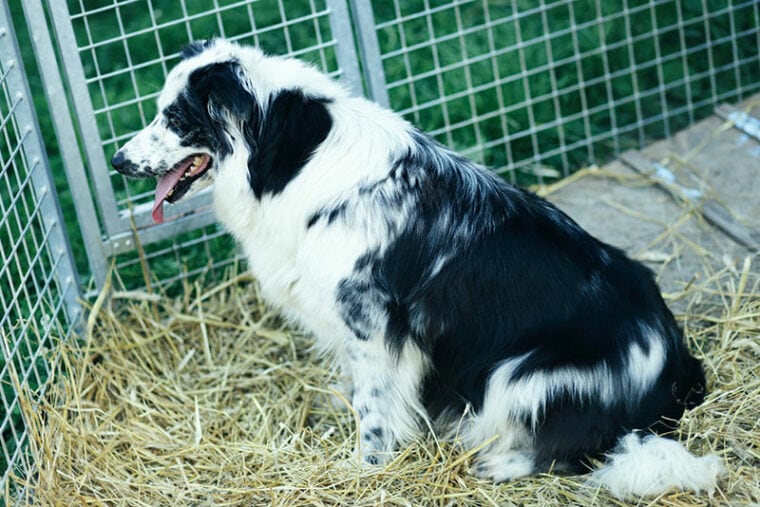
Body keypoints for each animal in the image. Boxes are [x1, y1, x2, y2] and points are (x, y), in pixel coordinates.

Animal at [111, 40, 720, 500]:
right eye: (160, 110)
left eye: (175, 118)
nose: (117, 162)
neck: (287, 159)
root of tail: (676, 361)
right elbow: (363, 390)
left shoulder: (373, 323)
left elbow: (375, 409)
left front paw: (364, 470)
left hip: (521, 374)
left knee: (578, 450)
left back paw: (499, 463)